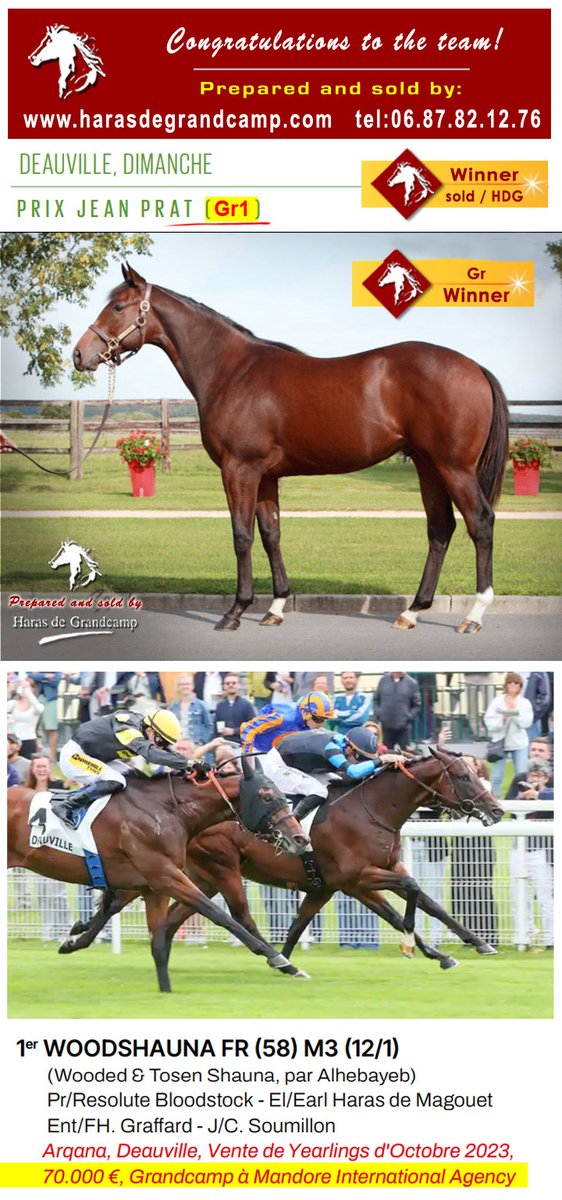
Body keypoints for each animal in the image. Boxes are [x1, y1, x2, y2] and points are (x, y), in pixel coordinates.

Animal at [7, 759, 312, 986]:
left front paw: (74, 937)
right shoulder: (165, 875)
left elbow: (124, 913)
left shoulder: (150, 881)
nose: (300, 838)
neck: (167, 810)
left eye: (283, 795)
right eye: (266, 796)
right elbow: (219, 914)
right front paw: (281, 959)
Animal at [56, 748, 504, 992]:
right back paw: (79, 937)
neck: (371, 809)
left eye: (478, 772)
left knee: (159, 909)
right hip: (217, 868)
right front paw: (418, 944)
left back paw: (85, 938)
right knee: (215, 911)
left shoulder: (336, 884)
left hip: (196, 873)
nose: (497, 810)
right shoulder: (357, 878)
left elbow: (423, 903)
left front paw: (461, 948)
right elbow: (408, 895)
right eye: (462, 775)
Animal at [73, 263, 509, 634]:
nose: (80, 354)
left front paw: (235, 611)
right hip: (427, 464)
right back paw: (412, 611)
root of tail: (474, 366)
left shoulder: (239, 469)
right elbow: (271, 534)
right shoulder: (265, 476)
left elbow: (241, 536)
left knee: (480, 522)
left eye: (117, 306)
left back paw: (473, 615)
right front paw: (276, 606)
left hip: (453, 467)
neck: (232, 371)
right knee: (440, 528)